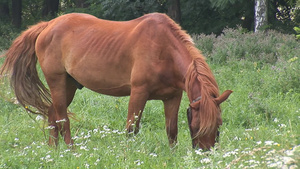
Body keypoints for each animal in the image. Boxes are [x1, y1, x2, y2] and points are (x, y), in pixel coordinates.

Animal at [0, 12, 232, 149]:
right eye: (199, 125)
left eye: (219, 124)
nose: (206, 153)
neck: (164, 50)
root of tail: (48, 25)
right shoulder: (138, 93)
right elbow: (131, 129)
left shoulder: (173, 97)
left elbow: (171, 130)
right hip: (57, 81)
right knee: (62, 118)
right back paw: (71, 149)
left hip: (69, 86)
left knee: (52, 114)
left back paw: (53, 150)